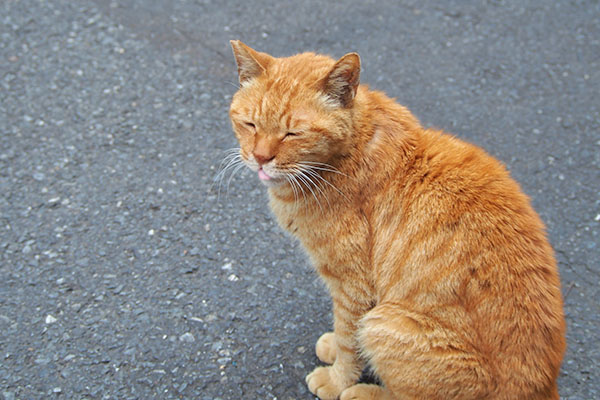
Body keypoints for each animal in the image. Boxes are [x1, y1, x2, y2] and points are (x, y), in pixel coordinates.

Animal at [227, 39, 564, 398]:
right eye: (250, 124)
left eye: (293, 133)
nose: (260, 157)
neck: (350, 150)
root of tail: (543, 387)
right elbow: (342, 332)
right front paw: (332, 347)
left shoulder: (353, 286)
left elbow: (348, 338)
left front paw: (337, 379)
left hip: (383, 322)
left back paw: (363, 392)